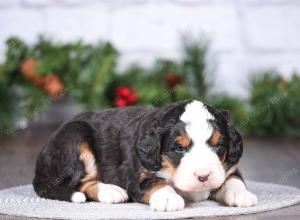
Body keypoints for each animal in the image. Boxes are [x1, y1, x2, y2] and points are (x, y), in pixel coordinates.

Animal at [33, 99, 258, 211]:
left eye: (218, 145)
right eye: (179, 148)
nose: (203, 176)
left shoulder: (226, 169)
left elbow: (234, 180)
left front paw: (242, 194)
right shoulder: (136, 176)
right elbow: (156, 183)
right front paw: (169, 198)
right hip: (76, 136)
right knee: (82, 182)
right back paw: (112, 192)